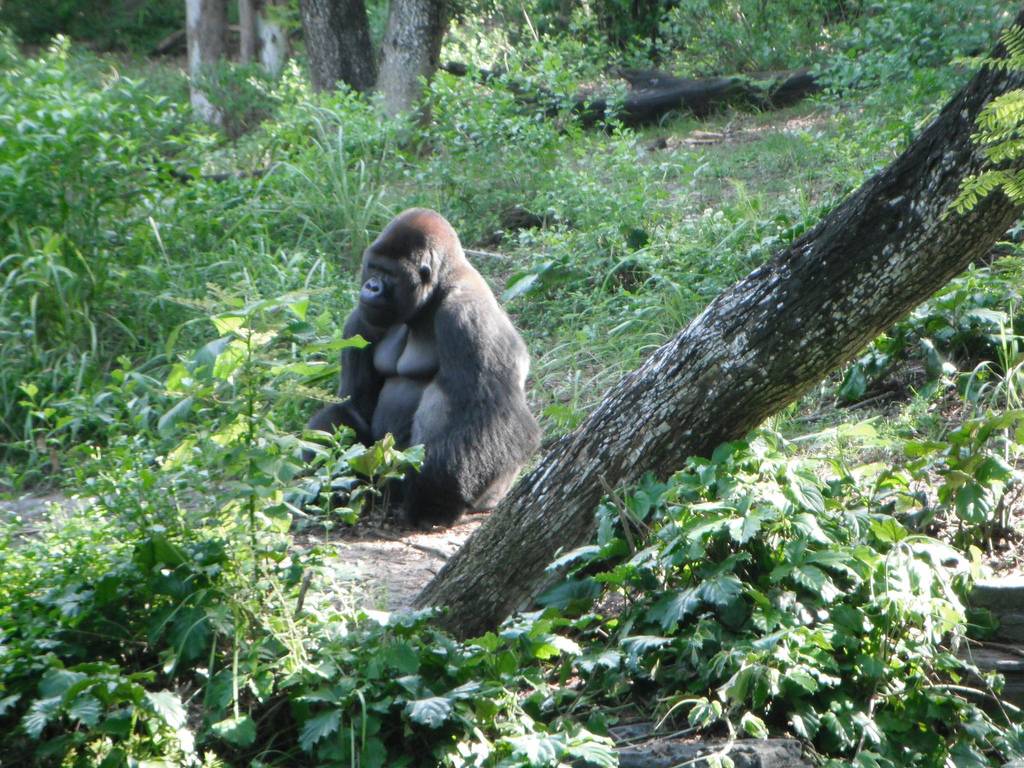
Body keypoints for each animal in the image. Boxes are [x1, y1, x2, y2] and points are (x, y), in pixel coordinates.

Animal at [307, 208, 541, 527]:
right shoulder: (360, 320)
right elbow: (353, 404)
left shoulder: (467, 316)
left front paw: (435, 497)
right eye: (373, 268)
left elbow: (491, 413)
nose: (371, 287)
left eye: (389, 274)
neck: (437, 290)